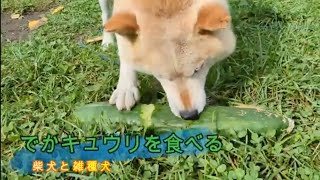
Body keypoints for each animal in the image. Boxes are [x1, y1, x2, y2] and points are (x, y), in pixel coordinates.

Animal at [99, 0, 236, 121]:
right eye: (160, 76)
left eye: (198, 69)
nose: (189, 115)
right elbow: (125, 50)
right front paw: (125, 88)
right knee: (105, 15)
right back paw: (107, 40)